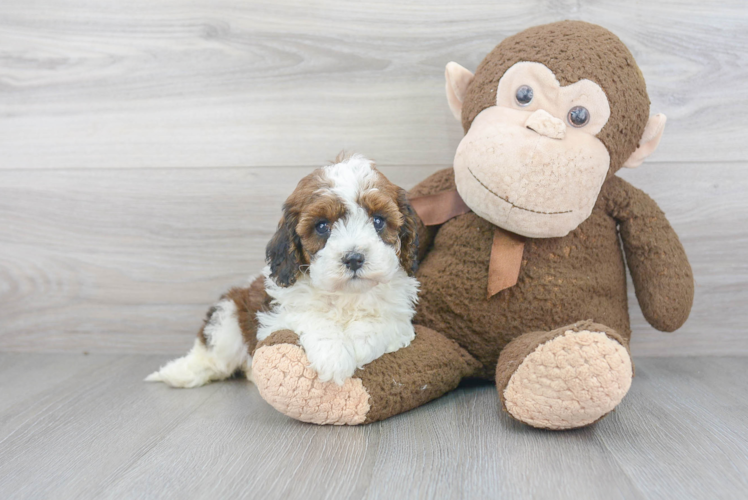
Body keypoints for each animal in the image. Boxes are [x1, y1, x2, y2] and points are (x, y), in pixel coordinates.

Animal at [145, 154, 414, 388]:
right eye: (322, 226)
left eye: (378, 221)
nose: (355, 258)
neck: (346, 295)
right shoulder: (274, 316)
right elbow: (311, 317)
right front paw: (333, 357)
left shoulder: (400, 316)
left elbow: (382, 322)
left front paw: (358, 343)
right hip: (228, 316)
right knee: (214, 359)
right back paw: (178, 372)